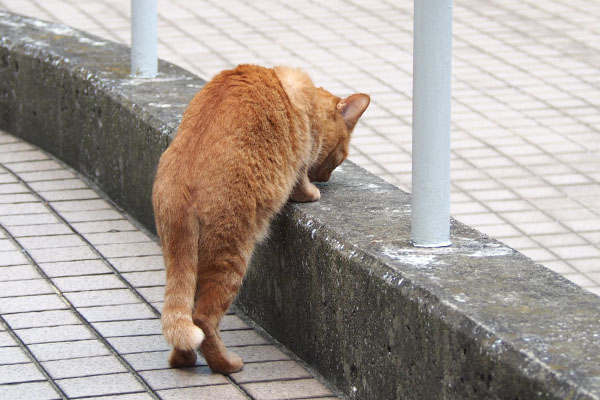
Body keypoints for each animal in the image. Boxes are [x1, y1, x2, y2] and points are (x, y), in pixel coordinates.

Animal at [152, 64, 368, 374]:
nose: (325, 178)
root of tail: (181, 181)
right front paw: (312, 192)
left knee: (183, 312)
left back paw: (183, 359)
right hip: (231, 255)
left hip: (182, 257)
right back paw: (227, 364)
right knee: (203, 318)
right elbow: (301, 180)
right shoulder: (300, 158)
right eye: (341, 157)